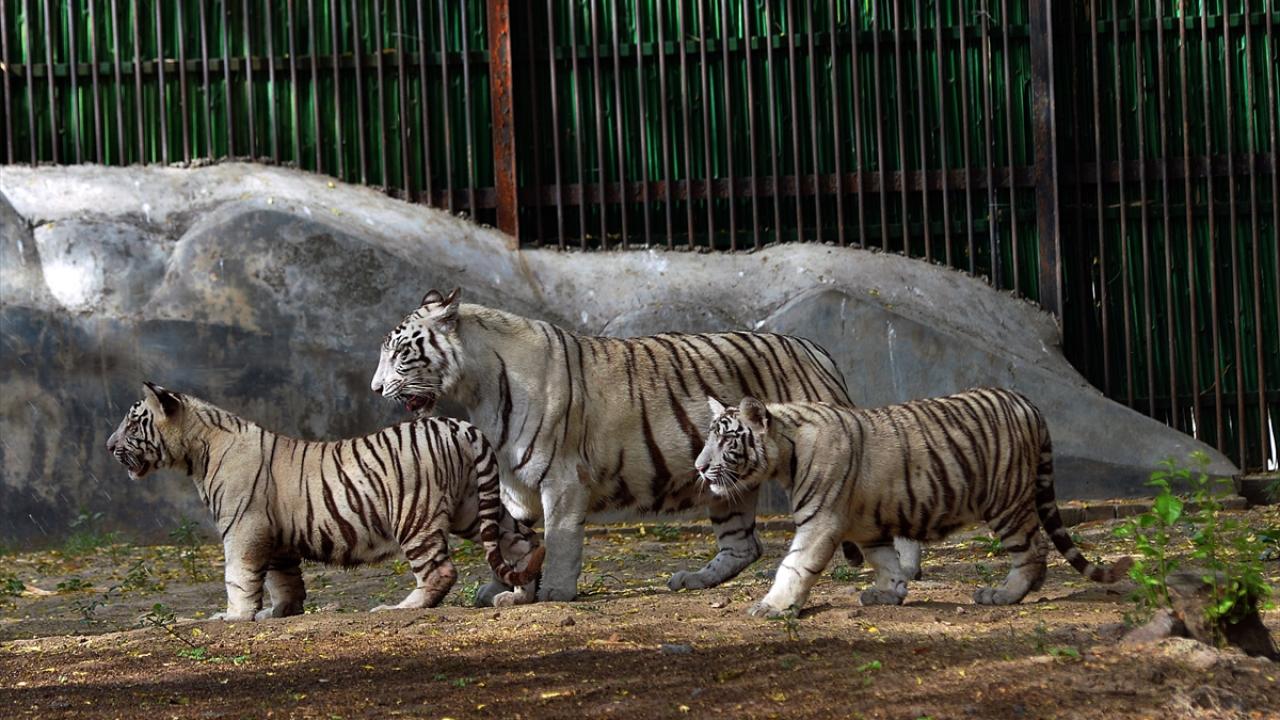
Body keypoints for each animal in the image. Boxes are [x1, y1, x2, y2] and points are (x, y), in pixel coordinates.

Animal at [371, 286, 921, 599]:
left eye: (400, 353)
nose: (375, 389)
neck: (477, 389)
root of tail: (818, 349)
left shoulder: (561, 480)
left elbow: (560, 541)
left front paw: (553, 593)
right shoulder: (514, 482)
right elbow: (509, 536)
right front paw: (501, 589)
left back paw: (910, 568)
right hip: (723, 480)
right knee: (743, 546)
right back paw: (691, 581)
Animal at [701, 389, 1131, 614]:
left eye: (726, 440)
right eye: (709, 438)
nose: (700, 467)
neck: (784, 453)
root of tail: (1028, 402)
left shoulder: (820, 521)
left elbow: (793, 565)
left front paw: (772, 606)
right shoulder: (866, 524)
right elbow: (884, 560)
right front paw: (889, 593)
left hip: (1006, 501)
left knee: (1032, 549)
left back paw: (1005, 594)